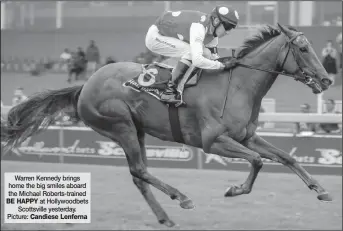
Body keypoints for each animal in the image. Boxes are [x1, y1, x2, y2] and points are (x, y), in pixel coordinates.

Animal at [2, 23, 336, 227]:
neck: (238, 85)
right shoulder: (213, 141)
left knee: (139, 175)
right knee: (140, 170)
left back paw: (165, 217)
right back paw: (182, 198)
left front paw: (320, 189)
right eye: (303, 49)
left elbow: (287, 157)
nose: (326, 80)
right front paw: (234, 189)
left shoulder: (247, 137)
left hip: (135, 130)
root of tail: (85, 84)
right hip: (120, 125)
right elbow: (257, 161)